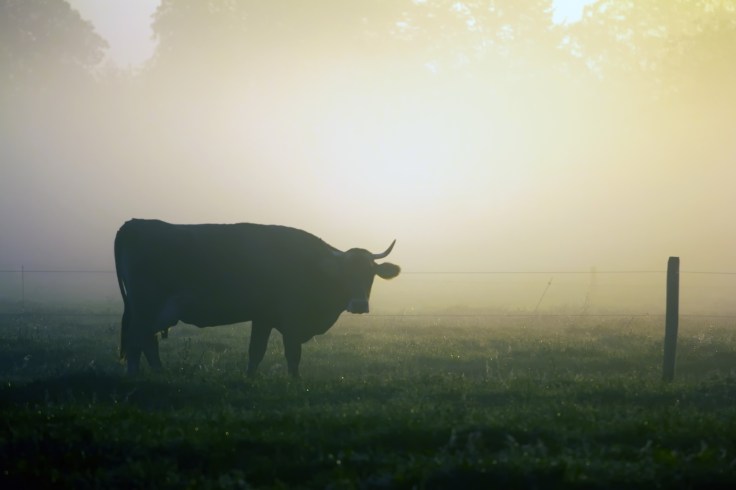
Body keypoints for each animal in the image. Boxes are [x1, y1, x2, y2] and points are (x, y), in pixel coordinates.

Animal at [114, 219, 400, 377]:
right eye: (345, 273)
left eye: (371, 274)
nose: (360, 304)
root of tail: (134, 224)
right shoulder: (283, 318)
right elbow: (288, 352)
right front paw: (295, 382)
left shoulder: (263, 318)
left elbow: (256, 352)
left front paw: (250, 377)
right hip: (146, 306)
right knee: (138, 340)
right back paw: (139, 375)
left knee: (146, 341)